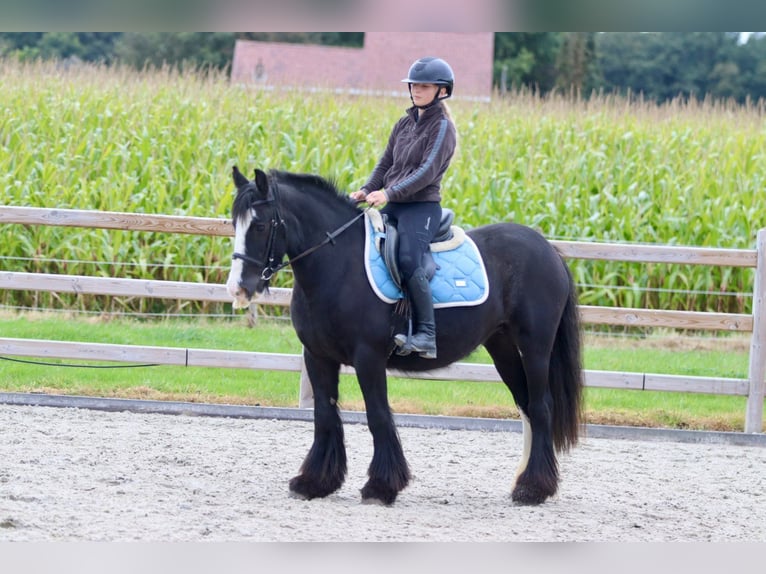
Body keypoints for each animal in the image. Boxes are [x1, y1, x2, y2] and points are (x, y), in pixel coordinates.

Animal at [225, 166, 584, 508]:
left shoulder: (368, 357)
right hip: (503, 347)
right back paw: (523, 482)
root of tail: (547, 249)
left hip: (535, 347)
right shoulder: (318, 356)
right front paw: (314, 483)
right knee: (525, 406)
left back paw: (533, 489)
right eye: (234, 224)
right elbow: (325, 415)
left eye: (260, 225)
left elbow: (378, 415)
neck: (339, 266)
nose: (238, 289)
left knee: (540, 407)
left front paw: (381, 487)